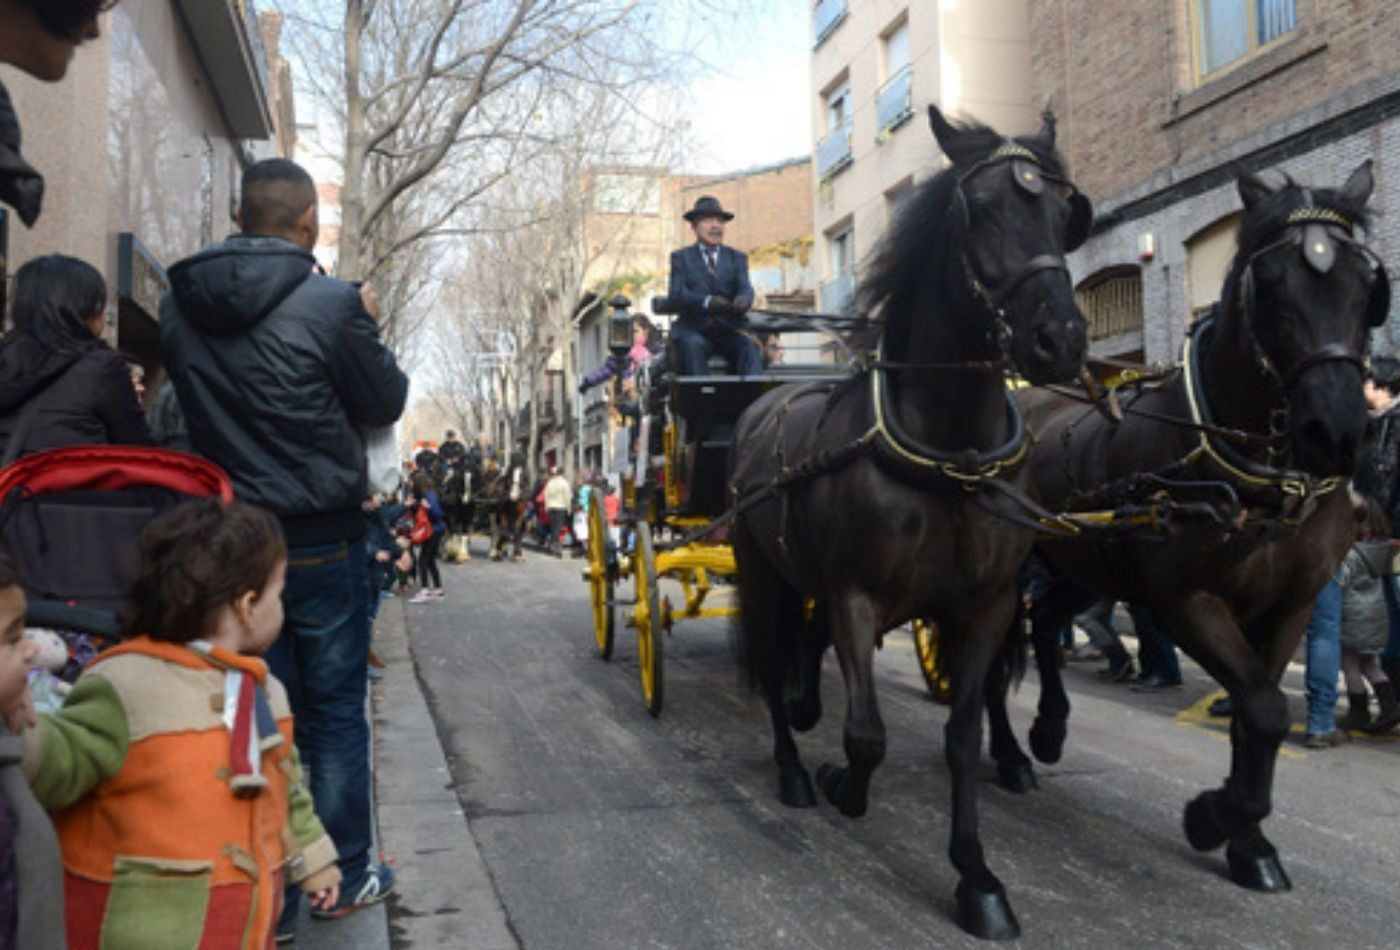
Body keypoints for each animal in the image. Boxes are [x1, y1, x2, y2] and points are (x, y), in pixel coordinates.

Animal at [733, 105, 1092, 934]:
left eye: (1066, 216)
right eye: (982, 210)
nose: (1060, 339)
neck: (949, 452)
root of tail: (766, 400)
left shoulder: (988, 606)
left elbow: (963, 734)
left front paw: (976, 877)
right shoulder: (856, 597)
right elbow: (867, 736)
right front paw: (840, 782)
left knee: (798, 652)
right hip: (762, 572)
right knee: (768, 657)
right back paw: (793, 766)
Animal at [985, 165, 1388, 901]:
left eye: (1367, 286)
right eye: (1271, 284)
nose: (1339, 434)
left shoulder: (1292, 604)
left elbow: (1258, 718)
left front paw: (1249, 842)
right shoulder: (1185, 600)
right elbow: (1264, 709)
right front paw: (1213, 818)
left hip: (1082, 563)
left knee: (1048, 626)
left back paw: (1050, 729)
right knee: (999, 649)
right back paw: (1009, 752)